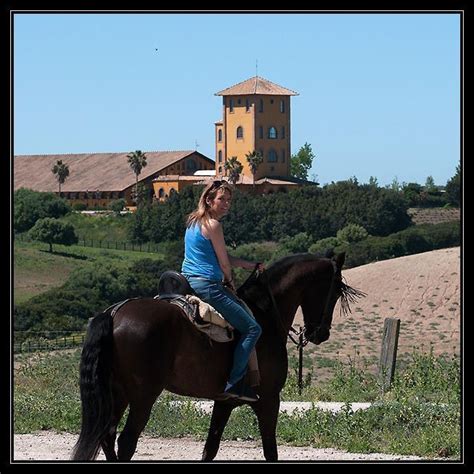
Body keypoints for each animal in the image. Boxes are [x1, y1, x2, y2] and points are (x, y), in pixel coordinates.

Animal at [71, 254, 362, 462]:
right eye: (335, 291)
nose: (321, 333)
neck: (265, 314)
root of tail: (114, 313)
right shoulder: (269, 400)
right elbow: (270, 450)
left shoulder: (224, 402)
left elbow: (210, 448)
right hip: (143, 396)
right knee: (125, 442)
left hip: (117, 394)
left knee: (106, 437)